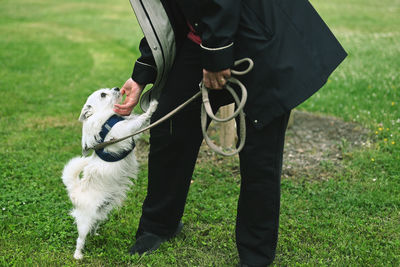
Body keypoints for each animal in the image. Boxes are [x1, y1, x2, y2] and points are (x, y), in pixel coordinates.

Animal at [61, 88, 157, 260]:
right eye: (103, 95)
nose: (118, 88)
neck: (108, 116)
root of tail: (75, 191)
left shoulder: (129, 132)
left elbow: (138, 122)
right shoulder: (124, 130)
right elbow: (139, 121)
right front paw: (152, 107)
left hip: (101, 212)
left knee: (94, 225)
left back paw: (95, 234)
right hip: (85, 219)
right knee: (80, 238)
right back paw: (78, 255)